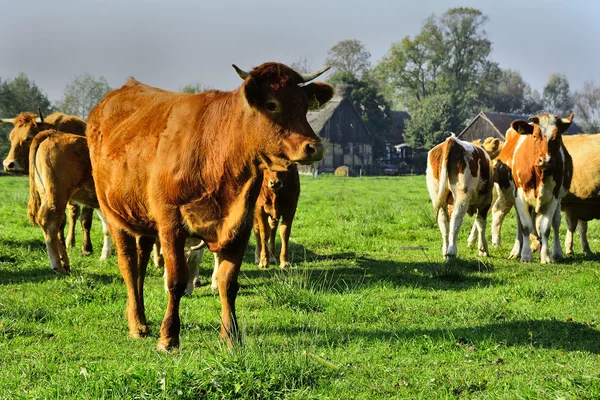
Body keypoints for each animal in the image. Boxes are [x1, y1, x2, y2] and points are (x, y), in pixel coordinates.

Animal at [28, 130, 113, 274]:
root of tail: (53, 134)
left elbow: (107, 228)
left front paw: (105, 256)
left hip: (45, 193)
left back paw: (64, 260)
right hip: (57, 194)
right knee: (49, 222)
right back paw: (58, 266)